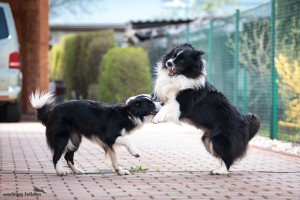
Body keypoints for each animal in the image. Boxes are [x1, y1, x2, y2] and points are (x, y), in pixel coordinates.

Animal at [29, 91, 162, 176]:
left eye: (152, 101)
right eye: (150, 103)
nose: (162, 103)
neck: (128, 113)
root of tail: (51, 112)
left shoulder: (109, 143)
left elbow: (115, 158)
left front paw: (119, 171)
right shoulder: (110, 137)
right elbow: (126, 141)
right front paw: (135, 152)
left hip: (76, 139)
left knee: (68, 156)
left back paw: (77, 171)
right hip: (62, 138)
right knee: (56, 156)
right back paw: (60, 172)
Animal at [152, 43, 260, 175]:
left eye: (182, 60)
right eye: (173, 55)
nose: (168, 63)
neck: (183, 75)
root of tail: (245, 121)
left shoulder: (182, 104)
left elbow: (167, 107)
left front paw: (157, 119)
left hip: (219, 139)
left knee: (228, 157)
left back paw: (220, 171)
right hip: (208, 139)